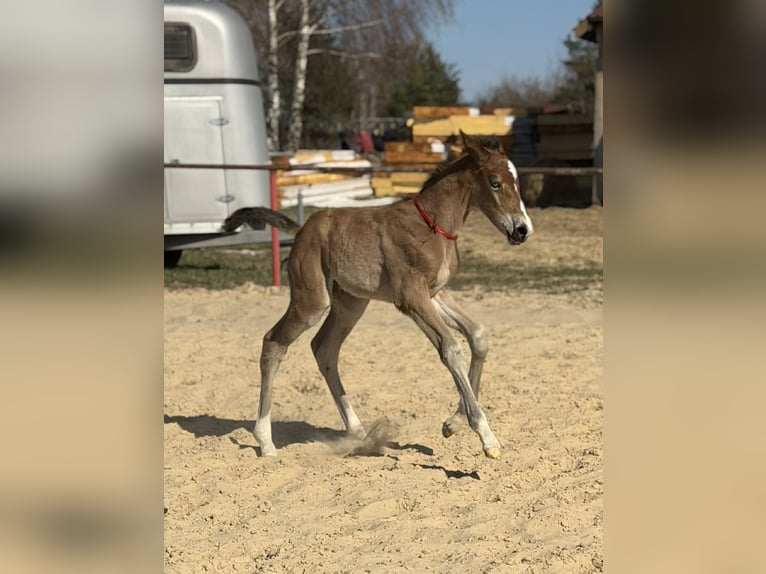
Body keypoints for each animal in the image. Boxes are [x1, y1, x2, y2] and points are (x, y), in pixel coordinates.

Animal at [223, 131, 533, 458]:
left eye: (515, 180)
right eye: (495, 182)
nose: (522, 230)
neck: (432, 225)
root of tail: (300, 232)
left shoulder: (434, 293)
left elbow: (477, 335)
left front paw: (453, 423)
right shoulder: (411, 297)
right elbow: (451, 348)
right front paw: (487, 437)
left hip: (351, 304)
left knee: (324, 348)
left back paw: (358, 431)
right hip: (312, 301)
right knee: (274, 342)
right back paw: (265, 440)